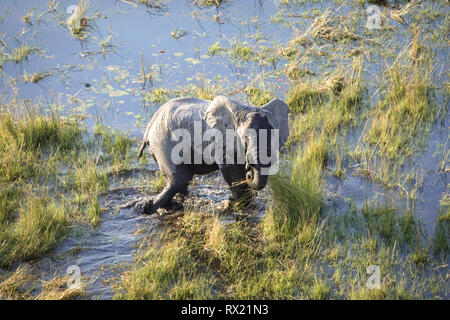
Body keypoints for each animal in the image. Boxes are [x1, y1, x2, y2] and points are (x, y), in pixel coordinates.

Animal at [137, 95, 290, 215]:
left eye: (273, 136)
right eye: (245, 138)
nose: (250, 173)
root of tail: (149, 127)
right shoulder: (221, 139)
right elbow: (231, 172)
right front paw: (241, 204)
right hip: (163, 142)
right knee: (180, 178)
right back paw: (148, 207)